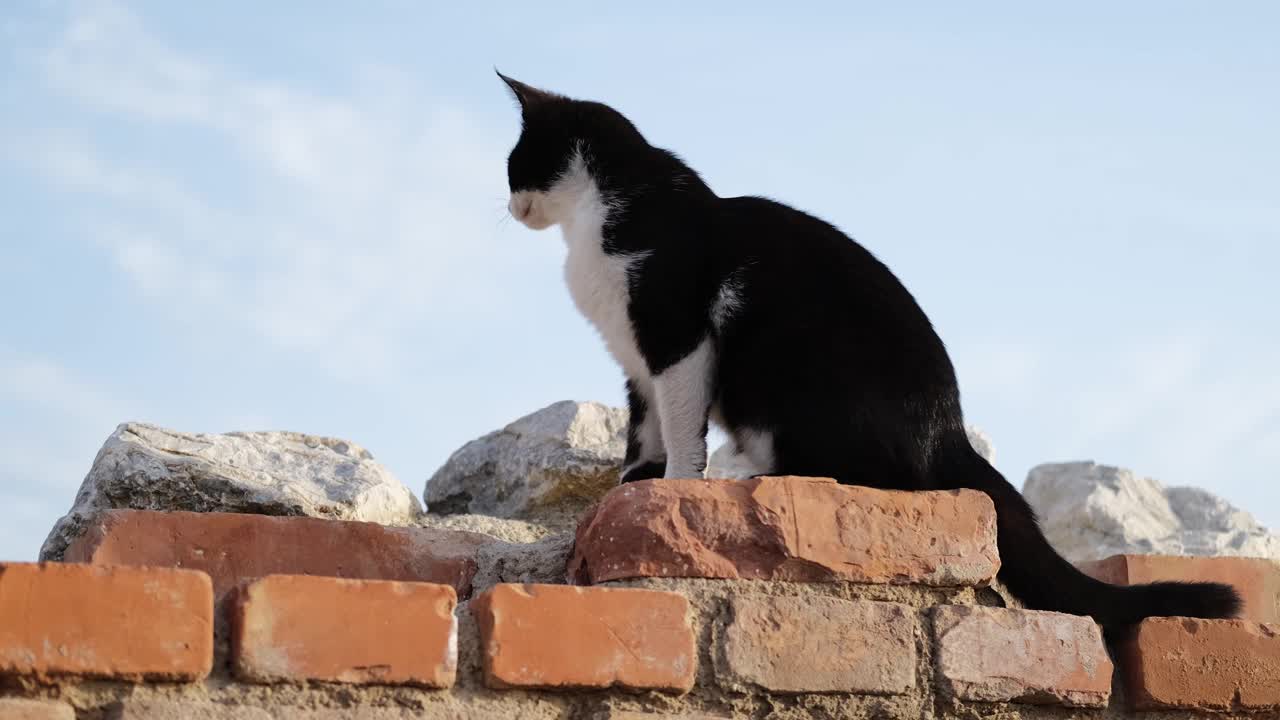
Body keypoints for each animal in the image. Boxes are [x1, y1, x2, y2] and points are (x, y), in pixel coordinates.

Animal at [496, 70, 1239, 635]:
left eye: (513, 164)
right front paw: (632, 484)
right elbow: (642, 428)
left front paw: (675, 484)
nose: (506, 205)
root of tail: (949, 429)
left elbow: (679, 427)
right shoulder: (634, 358)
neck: (598, 217)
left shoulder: (677, 334)